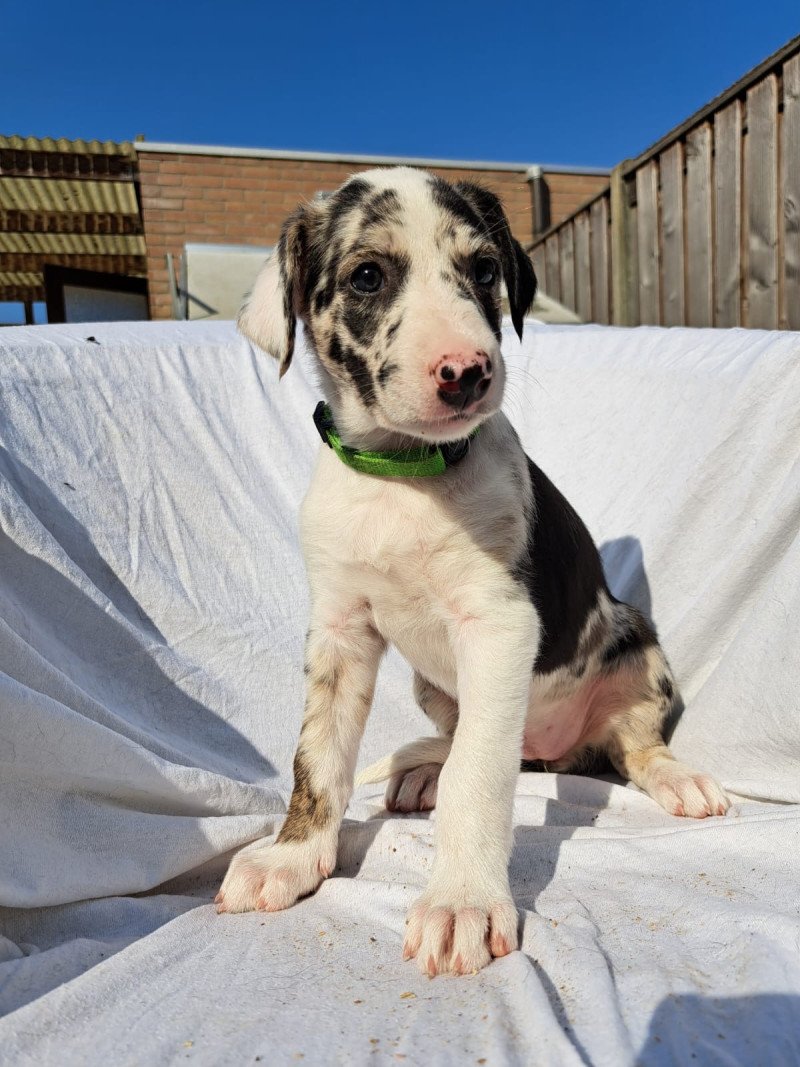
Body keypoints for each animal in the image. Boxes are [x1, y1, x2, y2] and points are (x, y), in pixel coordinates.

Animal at [216, 166, 729, 977]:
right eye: (367, 276)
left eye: (484, 270)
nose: (466, 372)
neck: (404, 475)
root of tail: (554, 751)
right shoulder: (339, 632)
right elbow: (317, 758)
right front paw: (291, 857)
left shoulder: (498, 626)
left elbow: (479, 776)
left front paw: (460, 900)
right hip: (434, 684)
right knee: (460, 740)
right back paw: (422, 765)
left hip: (639, 651)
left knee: (632, 747)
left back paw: (678, 777)